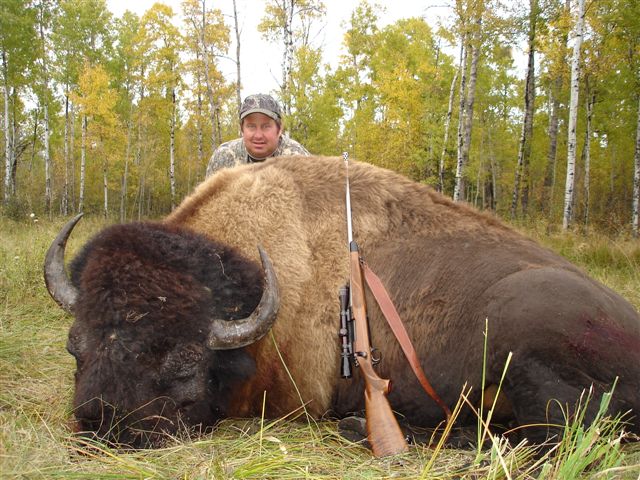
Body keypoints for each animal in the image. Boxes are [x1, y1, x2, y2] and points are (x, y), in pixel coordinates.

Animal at [45, 156, 640, 449]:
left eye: (187, 364)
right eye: (76, 348)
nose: (101, 422)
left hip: (525, 331)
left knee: (541, 442)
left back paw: (361, 429)